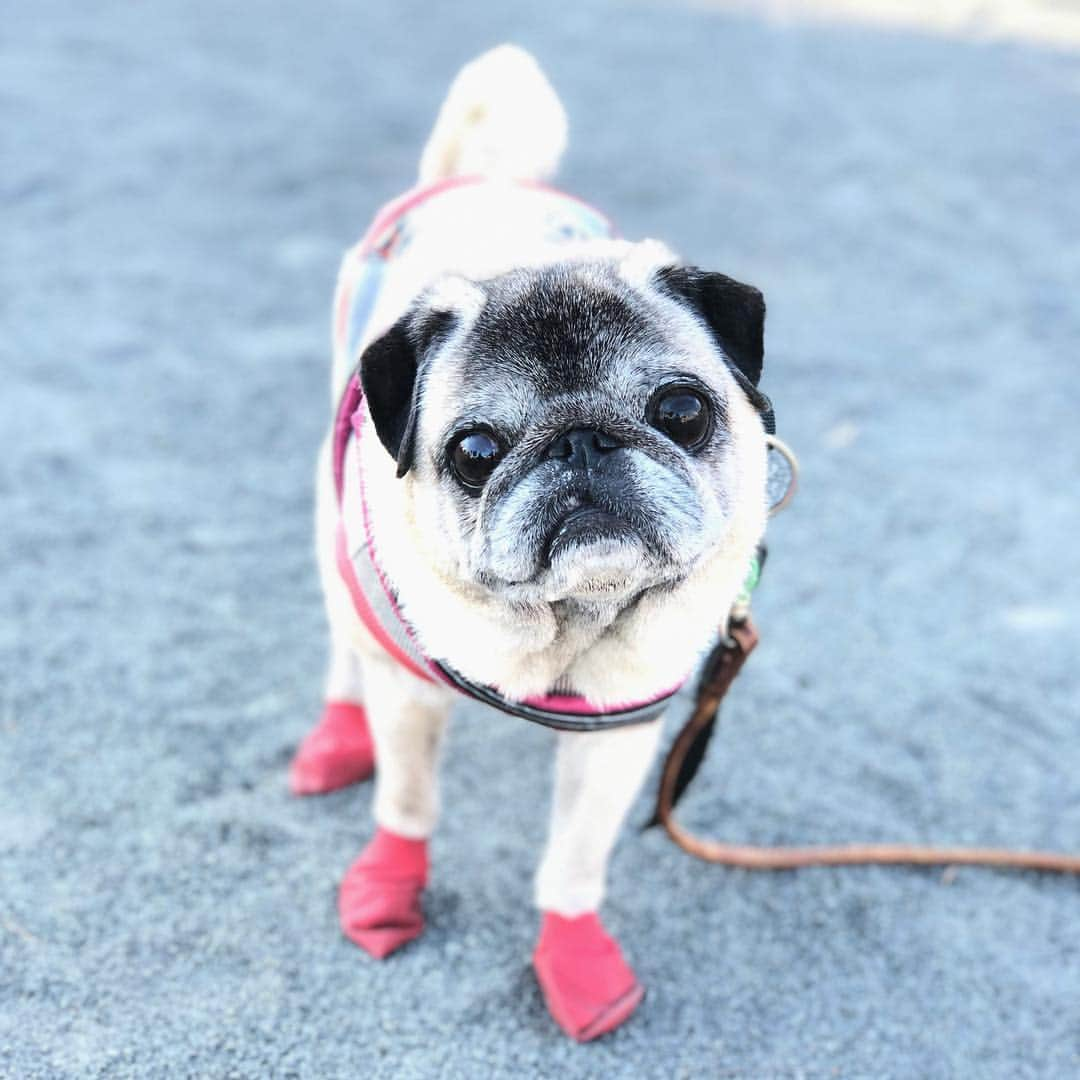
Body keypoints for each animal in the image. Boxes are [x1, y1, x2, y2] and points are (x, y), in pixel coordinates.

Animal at [291, 46, 773, 1041]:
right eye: (475, 453)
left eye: (682, 411)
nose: (579, 443)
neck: (563, 625)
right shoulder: (409, 696)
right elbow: (409, 801)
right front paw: (389, 888)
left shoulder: (622, 735)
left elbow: (576, 861)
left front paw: (576, 959)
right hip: (331, 528)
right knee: (343, 643)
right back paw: (335, 733)